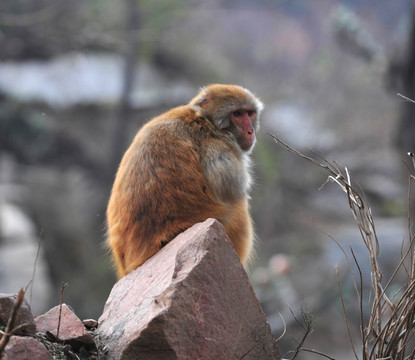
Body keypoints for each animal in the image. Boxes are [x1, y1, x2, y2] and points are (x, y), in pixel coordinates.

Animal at [105, 84, 264, 278]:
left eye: (250, 113)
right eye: (238, 114)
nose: (251, 131)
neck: (204, 118)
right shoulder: (215, 144)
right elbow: (232, 186)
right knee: (238, 206)